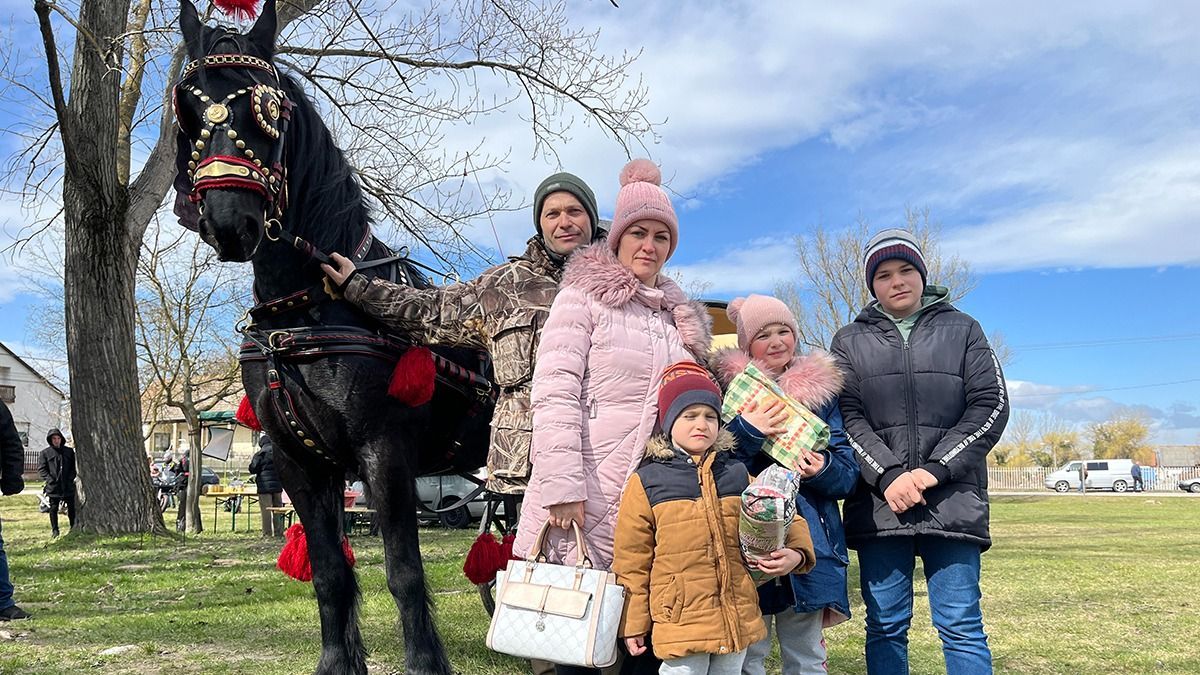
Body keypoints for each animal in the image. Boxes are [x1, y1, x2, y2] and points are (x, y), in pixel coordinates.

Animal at [174, 2, 492, 667]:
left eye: (267, 106)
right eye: (188, 106)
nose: (230, 224)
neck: (308, 308)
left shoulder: (384, 453)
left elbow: (404, 573)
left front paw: (425, 661)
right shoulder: (300, 464)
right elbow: (329, 575)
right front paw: (338, 661)